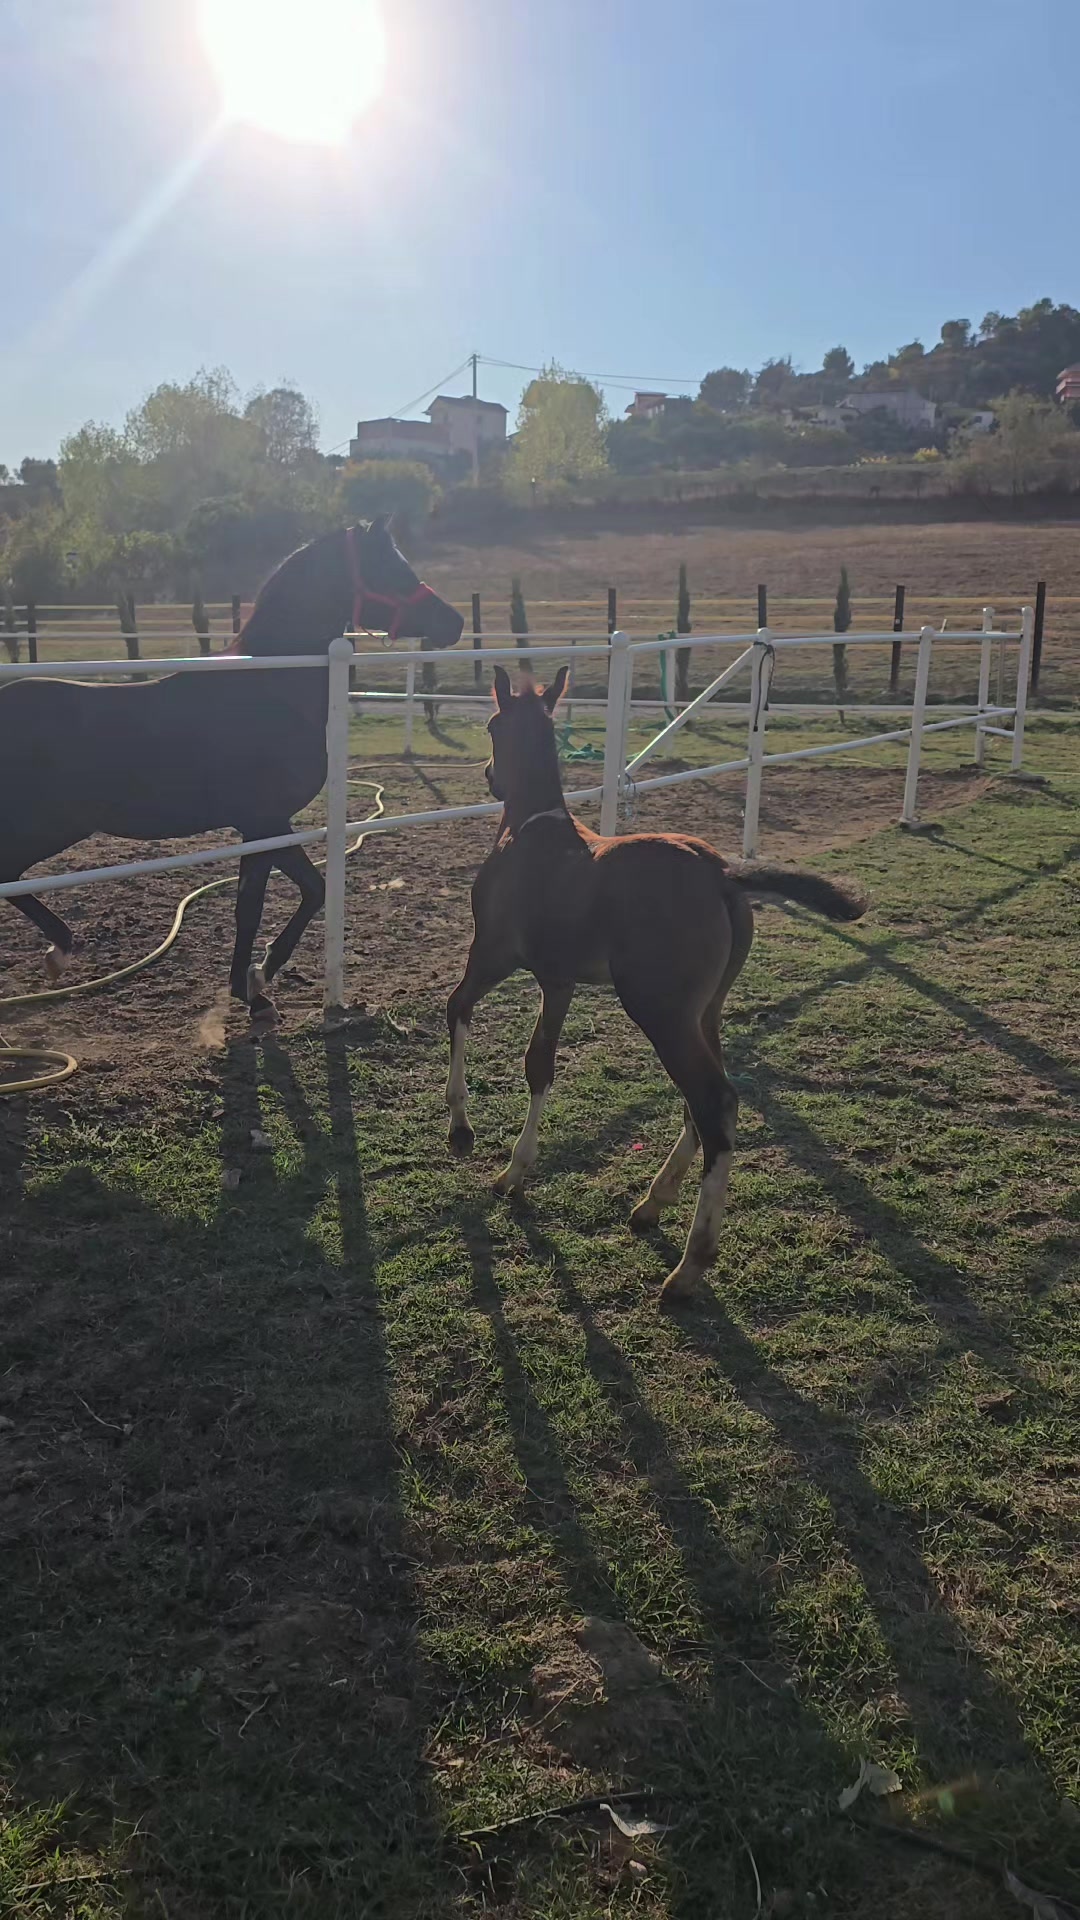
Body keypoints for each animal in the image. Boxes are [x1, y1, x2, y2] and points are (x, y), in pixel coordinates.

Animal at [0, 519, 464, 1027]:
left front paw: (251, 984)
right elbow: (283, 899)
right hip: (49, 826)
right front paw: (259, 983)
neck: (270, 689)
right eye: (389, 569)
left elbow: (280, 898)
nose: (454, 623)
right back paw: (59, 951)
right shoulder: (265, 822)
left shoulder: (261, 829)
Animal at [445, 666, 865, 1305]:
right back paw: (652, 1203)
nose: (491, 777)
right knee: (711, 1099)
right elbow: (540, 1064)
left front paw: (465, 1132)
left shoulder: (492, 954)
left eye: (492, 725)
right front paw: (516, 1169)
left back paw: (689, 1266)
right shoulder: (558, 980)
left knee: (714, 1101)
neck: (531, 833)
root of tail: (721, 873)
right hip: (702, 1011)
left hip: (660, 1011)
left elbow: (457, 1009)